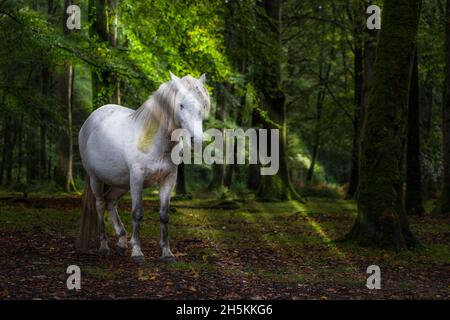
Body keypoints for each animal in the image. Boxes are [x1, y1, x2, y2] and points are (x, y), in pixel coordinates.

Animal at [77, 72, 209, 262]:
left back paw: (121, 242)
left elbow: (164, 215)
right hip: (96, 178)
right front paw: (137, 252)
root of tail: (89, 121)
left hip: (121, 183)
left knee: (111, 202)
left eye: (203, 105)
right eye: (181, 105)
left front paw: (167, 253)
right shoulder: (137, 178)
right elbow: (137, 213)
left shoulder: (168, 179)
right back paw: (104, 247)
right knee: (100, 205)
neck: (154, 141)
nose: (196, 141)